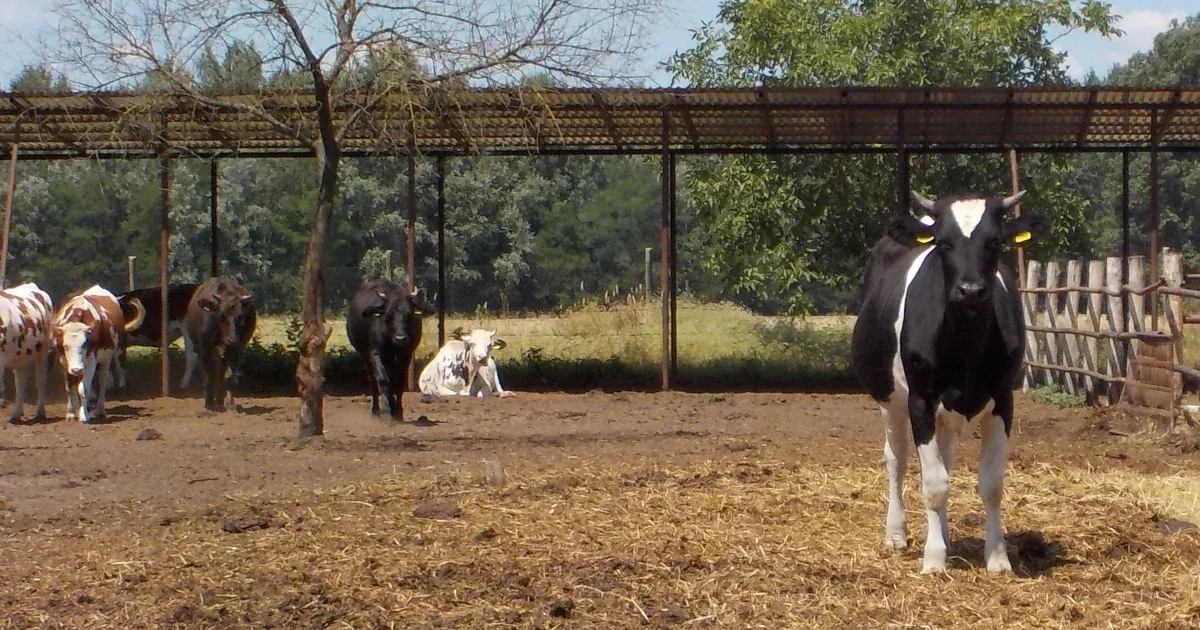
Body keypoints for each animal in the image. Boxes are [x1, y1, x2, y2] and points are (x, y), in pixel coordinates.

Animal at [0, 283, 54, 422]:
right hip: (20, 355)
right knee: (20, 381)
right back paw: (16, 414)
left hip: (43, 350)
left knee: (40, 379)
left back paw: (40, 412)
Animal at [52, 284, 145, 422]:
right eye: (65, 346)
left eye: (85, 344)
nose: (76, 369)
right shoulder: (64, 360)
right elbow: (70, 386)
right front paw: (71, 413)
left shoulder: (91, 360)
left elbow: (84, 388)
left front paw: (83, 415)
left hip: (109, 357)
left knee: (102, 382)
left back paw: (99, 410)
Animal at [343, 277, 436, 420]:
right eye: (387, 315)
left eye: (409, 314)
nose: (400, 338)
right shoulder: (375, 353)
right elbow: (383, 380)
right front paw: (387, 411)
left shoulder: (406, 354)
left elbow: (399, 381)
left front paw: (398, 412)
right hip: (365, 356)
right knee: (374, 380)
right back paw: (376, 410)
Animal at [849, 188, 1046, 573]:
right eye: (943, 244)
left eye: (994, 242)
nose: (970, 290)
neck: (965, 345)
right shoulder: (921, 401)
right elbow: (934, 485)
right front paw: (933, 559)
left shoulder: (1004, 399)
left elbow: (991, 483)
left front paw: (997, 558)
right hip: (889, 399)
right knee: (897, 459)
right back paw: (897, 534)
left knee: (945, 458)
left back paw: (944, 534)